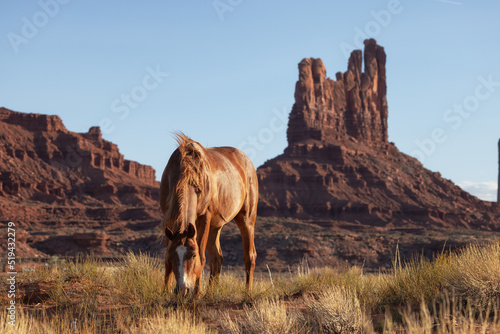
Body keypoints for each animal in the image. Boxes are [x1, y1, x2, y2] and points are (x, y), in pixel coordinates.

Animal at [159, 133, 258, 294]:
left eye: (192, 255)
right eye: (173, 256)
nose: (183, 290)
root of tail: (246, 160)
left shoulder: (204, 218)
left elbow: (202, 256)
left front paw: (197, 294)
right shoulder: (169, 219)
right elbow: (167, 261)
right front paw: (165, 291)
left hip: (246, 219)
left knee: (249, 256)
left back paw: (247, 292)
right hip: (216, 226)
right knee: (217, 258)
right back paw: (211, 293)